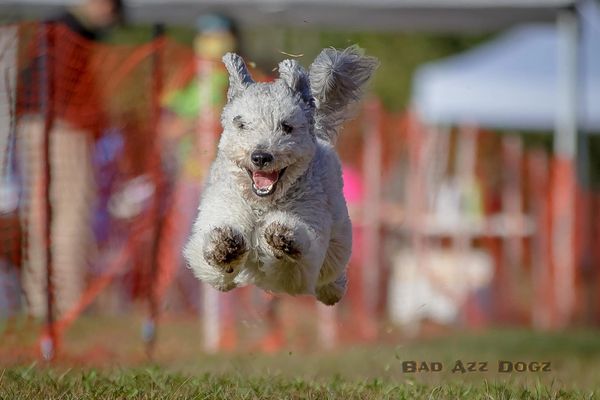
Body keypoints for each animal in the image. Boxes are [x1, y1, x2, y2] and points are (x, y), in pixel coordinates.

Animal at [185, 46, 378, 304]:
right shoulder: (222, 210)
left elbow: (293, 262)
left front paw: (283, 237)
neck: (262, 205)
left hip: (338, 238)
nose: (260, 156)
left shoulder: (305, 256)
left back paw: (332, 290)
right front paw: (224, 245)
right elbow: (212, 257)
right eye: (242, 124)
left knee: (330, 271)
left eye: (286, 126)